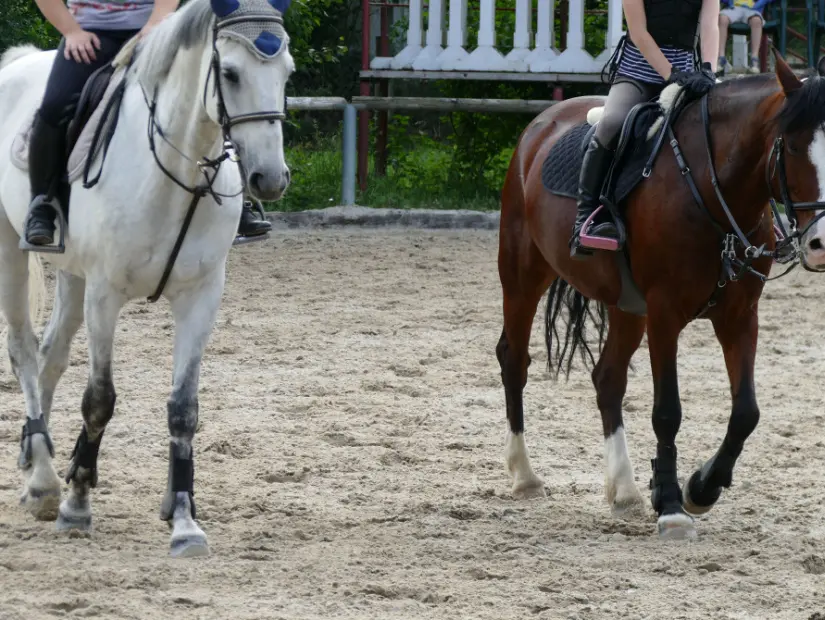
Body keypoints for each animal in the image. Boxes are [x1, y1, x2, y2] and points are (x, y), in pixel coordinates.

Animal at [0, 0, 292, 556]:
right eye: (229, 73)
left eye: (287, 72)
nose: (269, 178)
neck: (178, 174)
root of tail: (19, 61)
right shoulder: (105, 294)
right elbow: (99, 400)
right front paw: (77, 506)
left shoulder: (202, 296)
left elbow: (183, 409)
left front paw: (183, 518)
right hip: (11, 250)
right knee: (24, 350)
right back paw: (45, 483)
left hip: (71, 274)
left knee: (51, 356)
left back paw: (36, 460)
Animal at [496, 52, 824, 536]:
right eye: (794, 146)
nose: (821, 244)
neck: (713, 186)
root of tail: (540, 125)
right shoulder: (664, 313)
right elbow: (668, 411)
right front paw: (670, 504)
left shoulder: (740, 315)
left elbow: (746, 412)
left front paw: (700, 489)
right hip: (522, 276)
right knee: (514, 360)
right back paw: (524, 475)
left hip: (627, 308)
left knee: (608, 379)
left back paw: (624, 489)